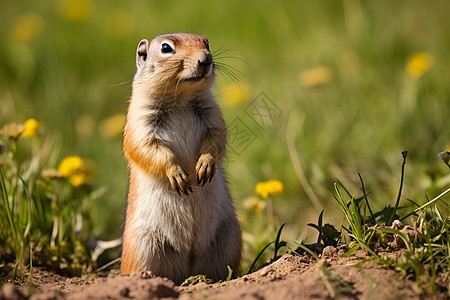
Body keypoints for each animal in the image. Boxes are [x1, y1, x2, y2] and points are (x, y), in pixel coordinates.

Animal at [119, 32, 243, 284]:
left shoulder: (213, 115)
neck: (180, 98)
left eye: (206, 42)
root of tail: (188, 262)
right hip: (142, 247)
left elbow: (217, 138)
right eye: (166, 48)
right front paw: (178, 175)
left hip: (229, 238)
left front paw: (204, 166)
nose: (206, 59)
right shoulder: (139, 122)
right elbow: (146, 148)